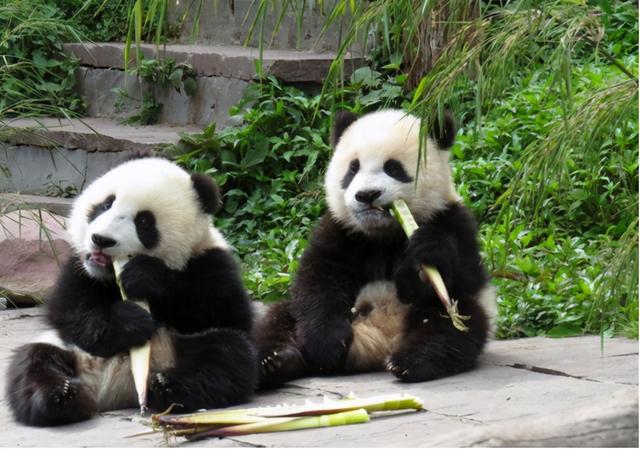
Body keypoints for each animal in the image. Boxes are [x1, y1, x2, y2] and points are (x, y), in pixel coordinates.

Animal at [7, 158, 256, 428]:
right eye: (106, 204)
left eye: (144, 222)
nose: (101, 239)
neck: (110, 276)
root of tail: (115, 390)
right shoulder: (78, 268)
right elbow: (69, 309)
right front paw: (131, 321)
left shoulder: (211, 260)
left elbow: (223, 311)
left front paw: (144, 276)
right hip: (71, 349)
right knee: (33, 363)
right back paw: (62, 397)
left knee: (226, 356)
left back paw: (166, 386)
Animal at [255, 108, 496, 384]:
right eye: (353, 169)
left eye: (393, 168)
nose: (367, 195)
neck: (383, 233)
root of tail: (378, 344)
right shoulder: (340, 230)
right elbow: (318, 279)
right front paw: (325, 346)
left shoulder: (452, 219)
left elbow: (465, 277)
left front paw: (425, 255)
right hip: (295, 316)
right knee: (278, 318)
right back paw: (276, 361)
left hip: (452, 315)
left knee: (452, 327)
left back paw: (409, 362)